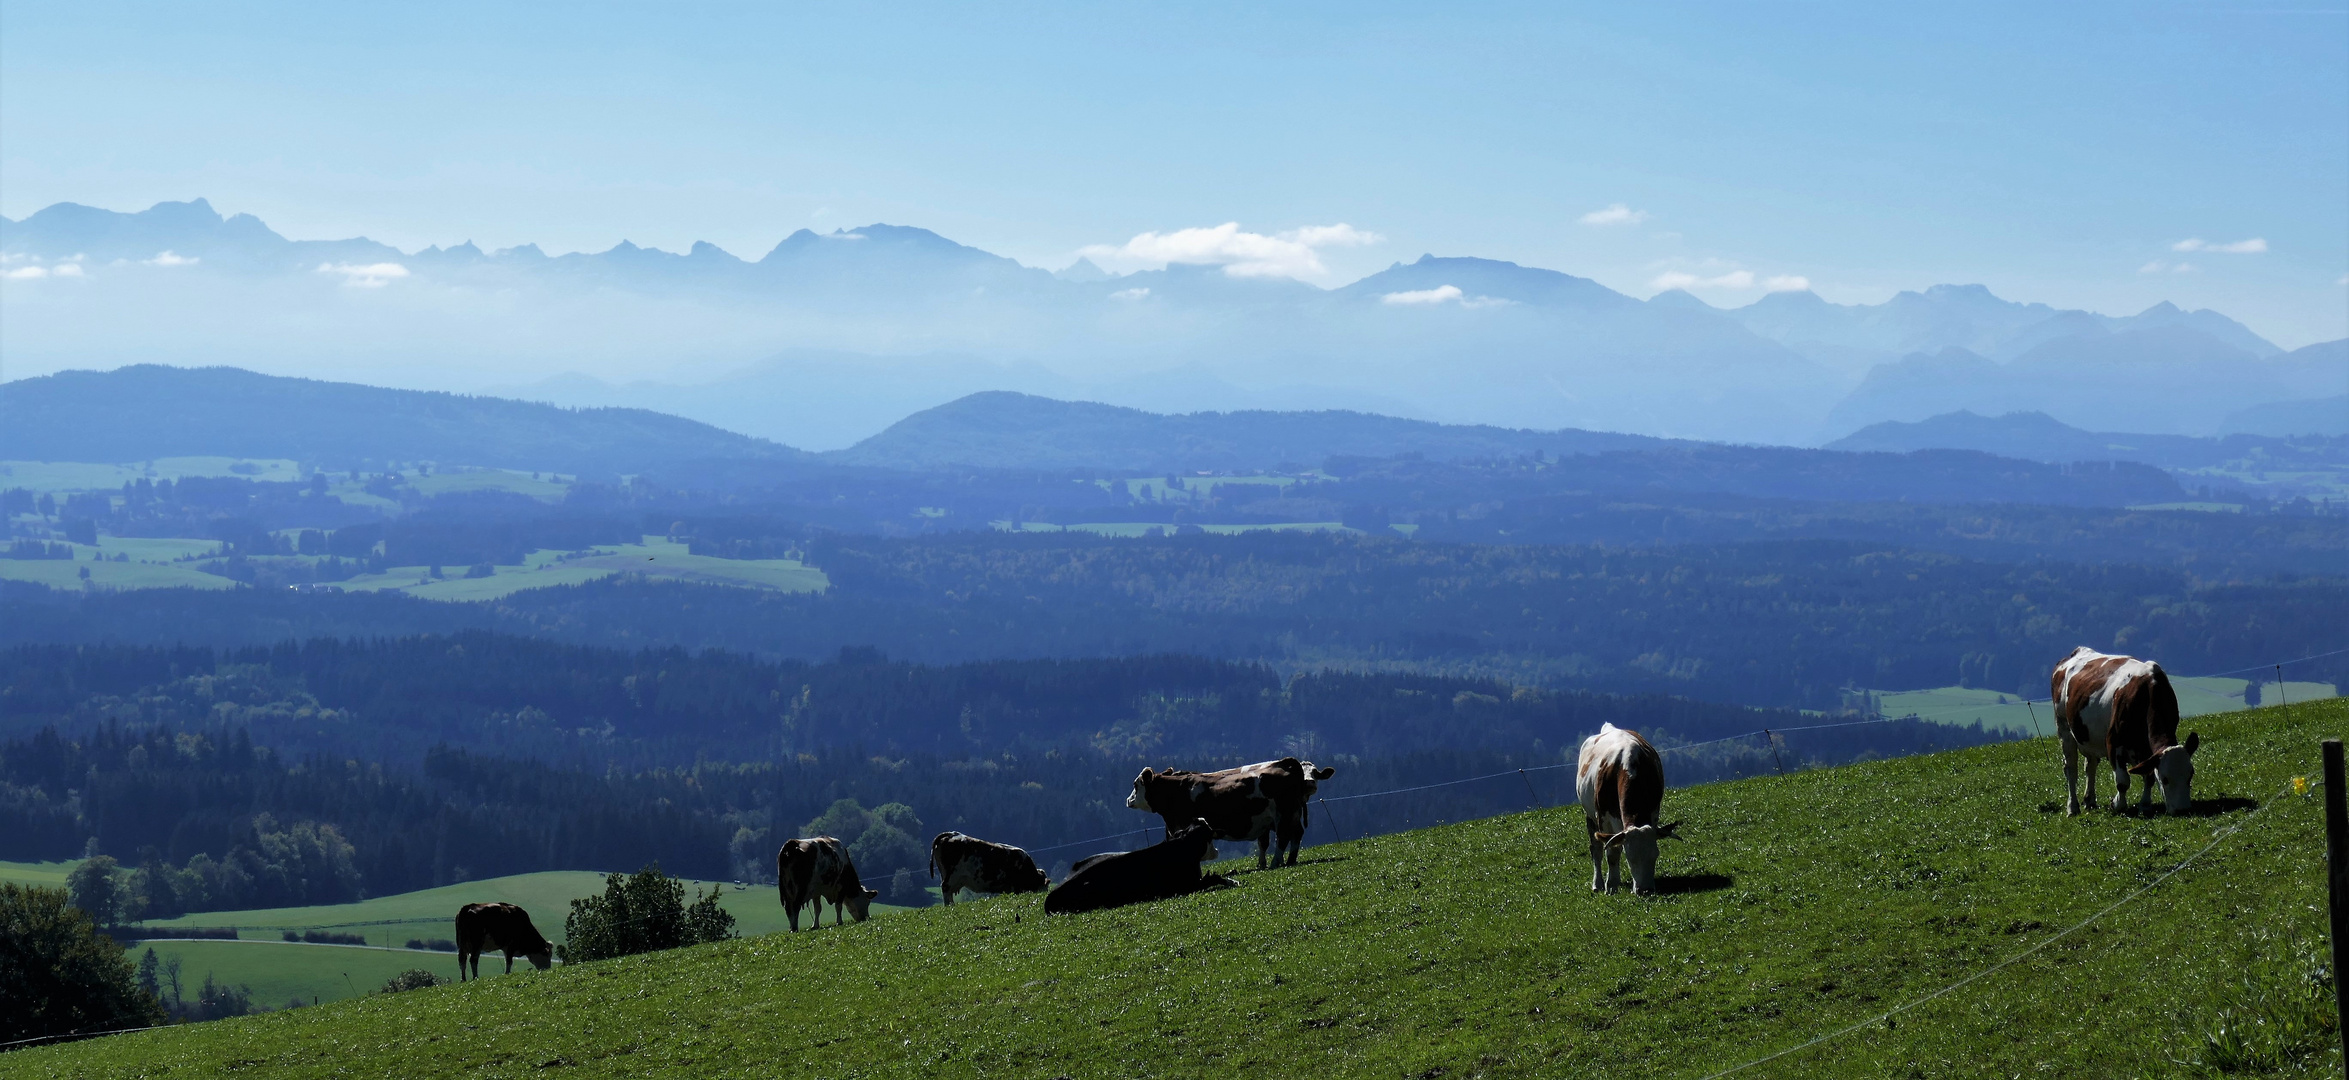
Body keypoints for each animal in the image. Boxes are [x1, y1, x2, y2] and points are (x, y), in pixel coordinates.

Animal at [1042, 821, 1240, 915]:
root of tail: (1050, 897)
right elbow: (1213, 877)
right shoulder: (1187, 885)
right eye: (1210, 835)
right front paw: (1233, 881)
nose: (1216, 851)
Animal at [1122, 760, 1334, 868]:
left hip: (1284, 814)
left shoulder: (1180, 824)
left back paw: (1275, 862)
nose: (1128, 800)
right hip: (1291, 815)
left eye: (1135, 784)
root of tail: (1287, 762)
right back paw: (1287, 860)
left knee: (1283, 838)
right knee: (1294, 835)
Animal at [1569, 727, 1681, 892]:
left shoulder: (1654, 812)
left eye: (1655, 856)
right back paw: (1598, 884)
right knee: (1596, 849)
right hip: (1590, 816)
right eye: (1630, 858)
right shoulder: (1604, 818)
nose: (1645, 890)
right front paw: (1611, 885)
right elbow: (1612, 852)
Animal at [2057, 643, 2198, 812]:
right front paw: (2118, 804)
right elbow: (2122, 781)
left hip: (2088, 736)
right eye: (2165, 779)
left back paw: (2089, 800)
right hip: (2064, 727)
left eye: (2190, 775)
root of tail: (2078, 651)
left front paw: (2145, 804)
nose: (2183, 809)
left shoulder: (2147, 751)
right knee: (2071, 769)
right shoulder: (2113, 742)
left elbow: (2149, 776)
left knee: (2090, 766)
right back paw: (2072, 807)